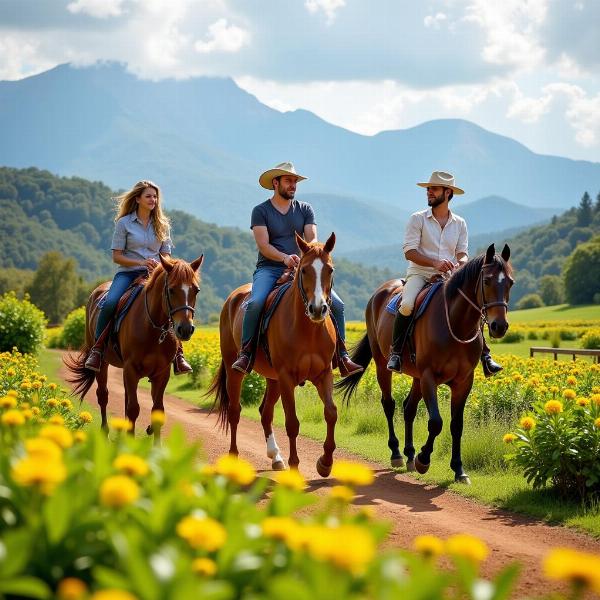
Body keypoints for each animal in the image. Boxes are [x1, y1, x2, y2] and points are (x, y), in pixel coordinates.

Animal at [66, 253, 204, 432]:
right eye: (171, 290)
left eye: (196, 290)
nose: (186, 329)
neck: (153, 328)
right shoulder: (131, 369)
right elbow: (133, 409)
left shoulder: (162, 372)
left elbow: (157, 411)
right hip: (102, 363)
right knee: (103, 395)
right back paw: (105, 432)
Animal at [206, 232, 338, 476]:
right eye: (304, 270)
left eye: (330, 269)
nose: (317, 309)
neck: (308, 330)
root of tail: (232, 299)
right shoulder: (287, 378)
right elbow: (292, 423)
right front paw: (295, 466)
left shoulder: (323, 374)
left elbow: (331, 412)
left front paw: (325, 463)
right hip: (235, 370)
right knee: (235, 411)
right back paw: (234, 457)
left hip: (273, 379)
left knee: (265, 412)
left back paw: (276, 457)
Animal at [336, 244, 512, 482]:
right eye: (487, 281)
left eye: (510, 282)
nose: (499, 326)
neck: (455, 324)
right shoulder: (429, 376)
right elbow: (436, 422)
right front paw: (423, 459)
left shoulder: (463, 381)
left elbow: (457, 425)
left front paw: (458, 469)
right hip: (384, 366)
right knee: (389, 404)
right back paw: (397, 453)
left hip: (417, 377)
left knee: (408, 408)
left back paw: (409, 454)